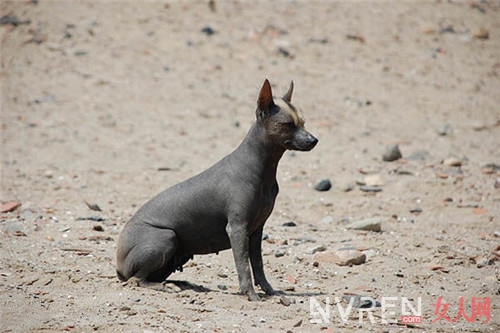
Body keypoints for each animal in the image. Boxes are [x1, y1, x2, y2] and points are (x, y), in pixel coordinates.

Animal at [116, 79, 316, 300]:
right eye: (288, 124)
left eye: (303, 122)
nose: (314, 140)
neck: (262, 168)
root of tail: (118, 263)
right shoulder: (237, 229)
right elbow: (244, 266)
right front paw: (251, 295)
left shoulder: (256, 231)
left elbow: (258, 265)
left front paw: (270, 291)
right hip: (166, 237)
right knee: (137, 279)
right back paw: (165, 287)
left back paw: (181, 284)